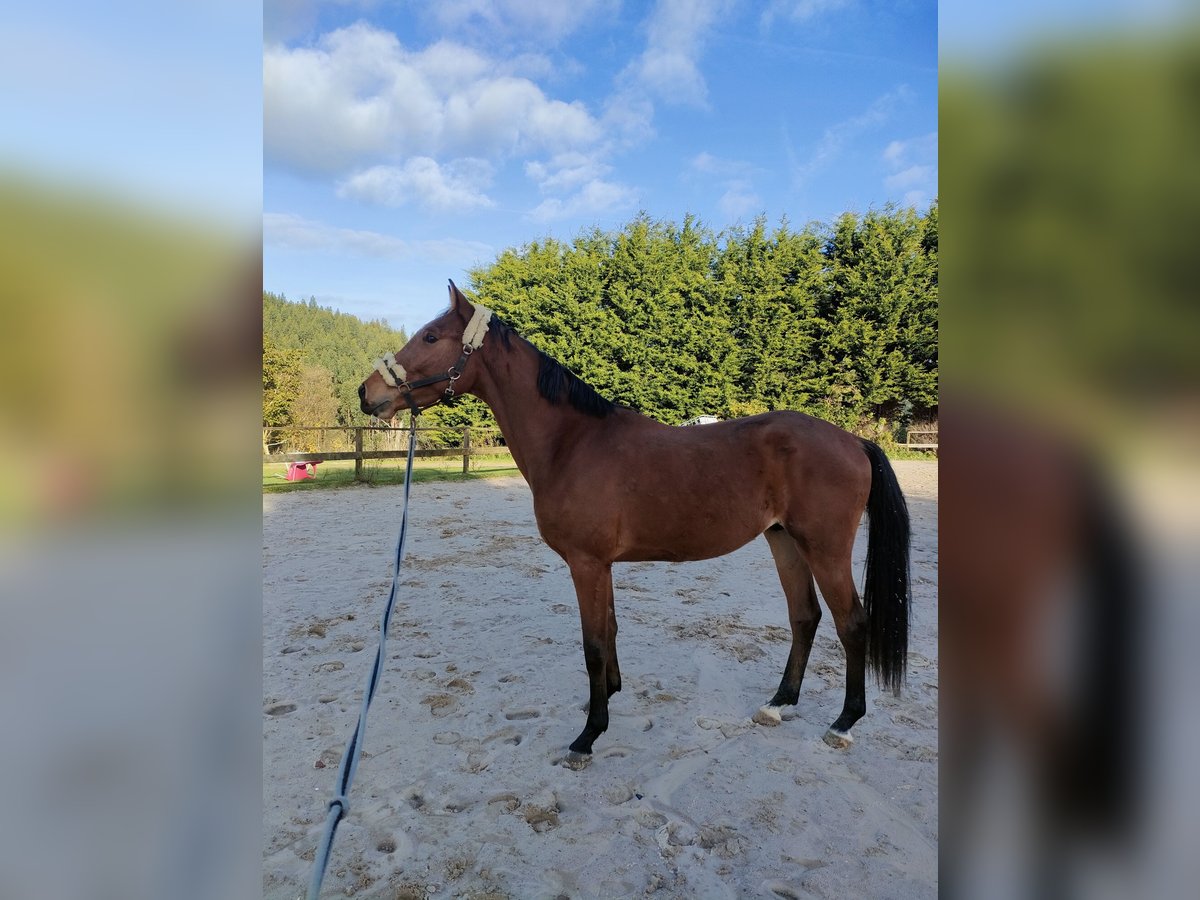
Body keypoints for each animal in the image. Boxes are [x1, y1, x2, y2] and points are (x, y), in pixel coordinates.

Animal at [357, 285, 907, 758]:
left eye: (431, 336)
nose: (367, 393)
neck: (572, 442)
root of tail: (853, 441)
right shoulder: (602, 565)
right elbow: (611, 629)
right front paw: (609, 697)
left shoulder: (586, 563)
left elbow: (594, 643)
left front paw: (589, 735)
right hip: (784, 541)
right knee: (804, 616)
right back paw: (778, 705)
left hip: (824, 549)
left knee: (851, 623)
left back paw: (844, 723)